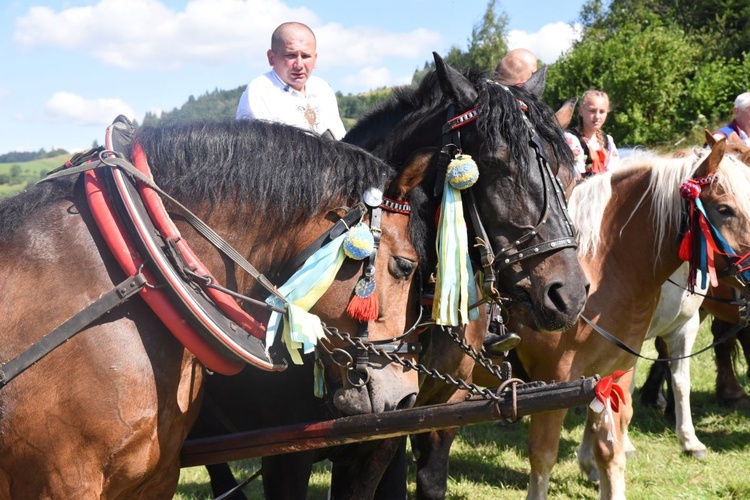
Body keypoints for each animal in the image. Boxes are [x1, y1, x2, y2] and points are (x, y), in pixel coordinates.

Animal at [476, 140, 750, 500]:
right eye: (725, 209)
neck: (601, 269)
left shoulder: (617, 370)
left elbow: (612, 449)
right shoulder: (553, 380)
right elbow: (543, 455)